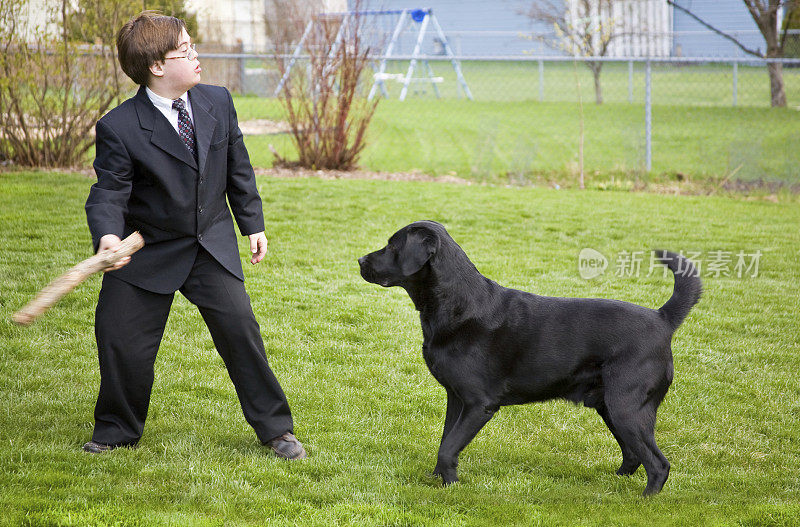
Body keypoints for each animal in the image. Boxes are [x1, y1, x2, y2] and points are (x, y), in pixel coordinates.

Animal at [358, 221, 700, 498]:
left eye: (392, 246)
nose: (360, 260)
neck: (456, 305)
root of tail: (662, 319)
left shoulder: (479, 404)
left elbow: (449, 447)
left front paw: (452, 485)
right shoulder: (455, 398)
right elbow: (445, 439)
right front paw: (438, 480)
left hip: (627, 407)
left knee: (658, 463)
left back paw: (645, 500)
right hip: (611, 407)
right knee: (633, 455)